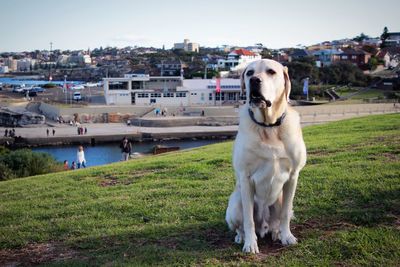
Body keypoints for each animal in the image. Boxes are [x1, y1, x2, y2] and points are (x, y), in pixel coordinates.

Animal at [225, 59, 306, 254]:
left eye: (271, 72)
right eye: (249, 73)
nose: (254, 80)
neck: (269, 127)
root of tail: (264, 226)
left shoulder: (293, 176)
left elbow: (284, 214)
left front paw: (287, 236)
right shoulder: (245, 178)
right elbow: (248, 219)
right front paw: (250, 244)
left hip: (279, 200)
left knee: (279, 218)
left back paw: (276, 232)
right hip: (234, 204)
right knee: (242, 225)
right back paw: (242, 237)